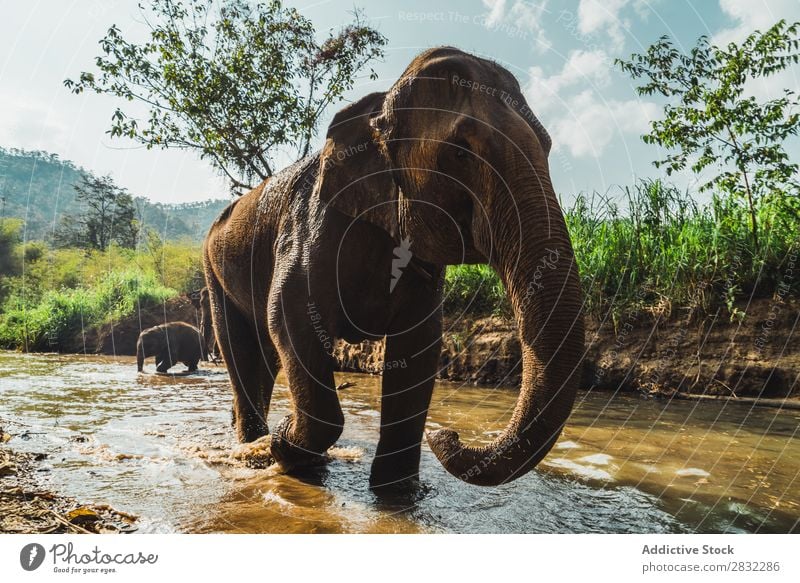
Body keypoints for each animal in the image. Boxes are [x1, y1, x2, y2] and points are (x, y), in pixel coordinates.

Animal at [203, 48, 584, 490]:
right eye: (460, 153)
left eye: (548, 146)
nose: (448, 433)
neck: (378, 107)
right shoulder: (310, 228)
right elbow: (289, 314)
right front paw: (284, 445)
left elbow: (419, 345)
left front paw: (396, 493)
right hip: (212, 271)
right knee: (241, 349)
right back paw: (254, 447)